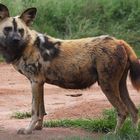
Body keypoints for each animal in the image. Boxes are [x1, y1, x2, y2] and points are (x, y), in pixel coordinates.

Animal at [0, 3, 140, 135]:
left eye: (20, 30)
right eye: (7, 29)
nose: (16, 40)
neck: (27, 45)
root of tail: (119, 41)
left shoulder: (35, 82)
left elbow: (34, 111)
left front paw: (28, 130)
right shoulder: (39, 83)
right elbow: (41, 110)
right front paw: (38, 127)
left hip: (107, 85)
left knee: (123, 110)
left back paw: (115, 134)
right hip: (119, 85)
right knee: (133, 110)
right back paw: (133, 133)